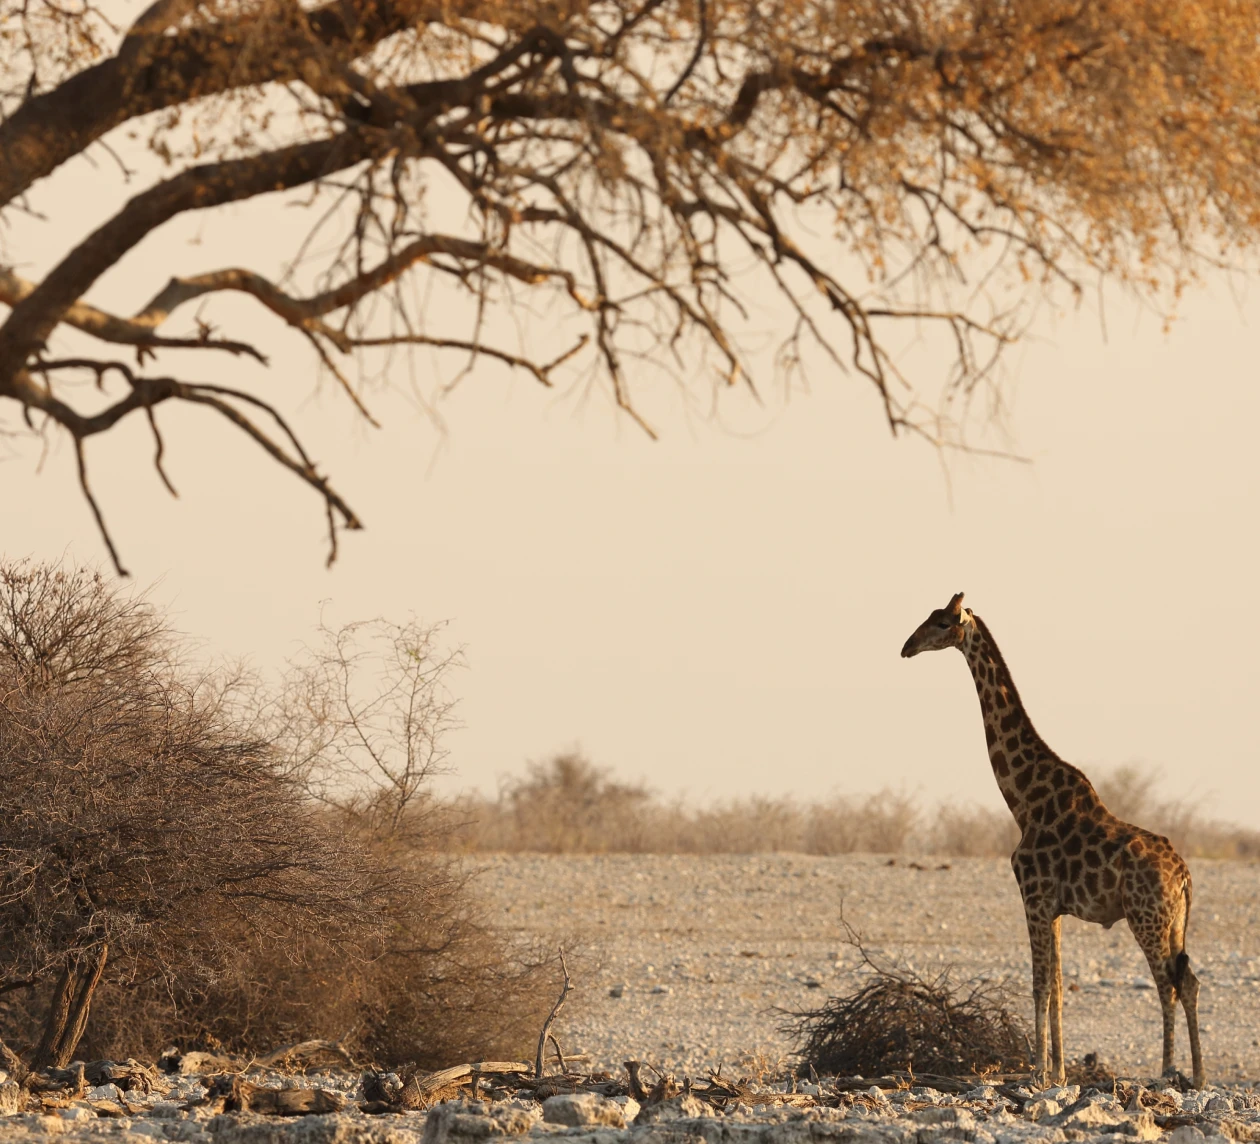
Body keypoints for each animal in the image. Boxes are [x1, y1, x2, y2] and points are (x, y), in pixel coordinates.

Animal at [900, 592, 1204, 1089]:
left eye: (942, 622)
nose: (906, 647)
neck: (1023, 800)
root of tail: (1185, 876)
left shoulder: (1034, 897)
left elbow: (1040, 982)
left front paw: (1038, 1071)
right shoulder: (1055, 908)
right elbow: (1058, 986)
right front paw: (1058, 1071)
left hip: (1146, 916)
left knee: (1168, 983)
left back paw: (1166, 1073)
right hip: (1174, 921)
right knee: (1189, 980)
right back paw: (1197, 1077)